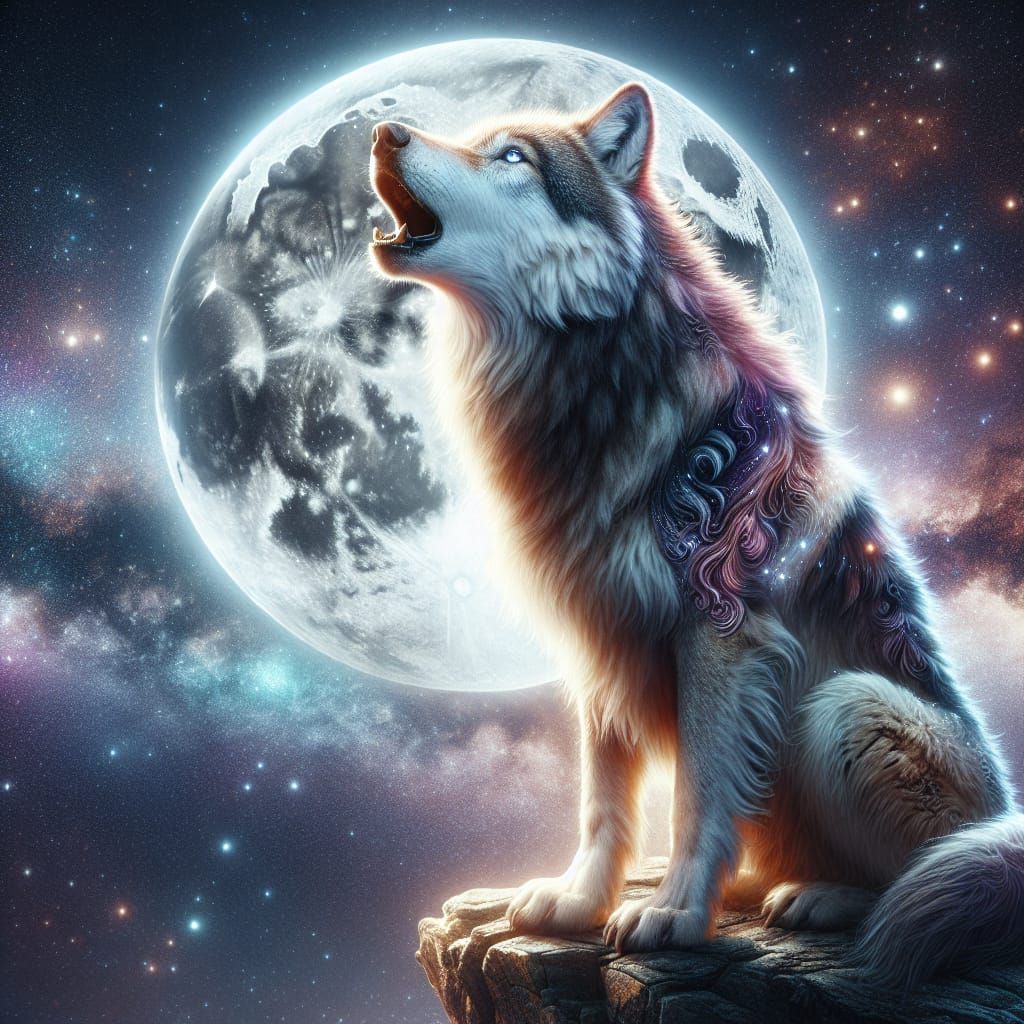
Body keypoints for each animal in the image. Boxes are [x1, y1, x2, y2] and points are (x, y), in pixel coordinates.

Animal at [368, 82, 1024, 990]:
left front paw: (674, 914)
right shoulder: (600, 633)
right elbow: (604, 799)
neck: (587, 364)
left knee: (904, 877)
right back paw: (754, 886)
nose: (382, 131)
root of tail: (1008, 818)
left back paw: (819, 899)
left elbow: (695, 797)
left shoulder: (719, 632)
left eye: (511, 156)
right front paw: (580, 901)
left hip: (845, 708)